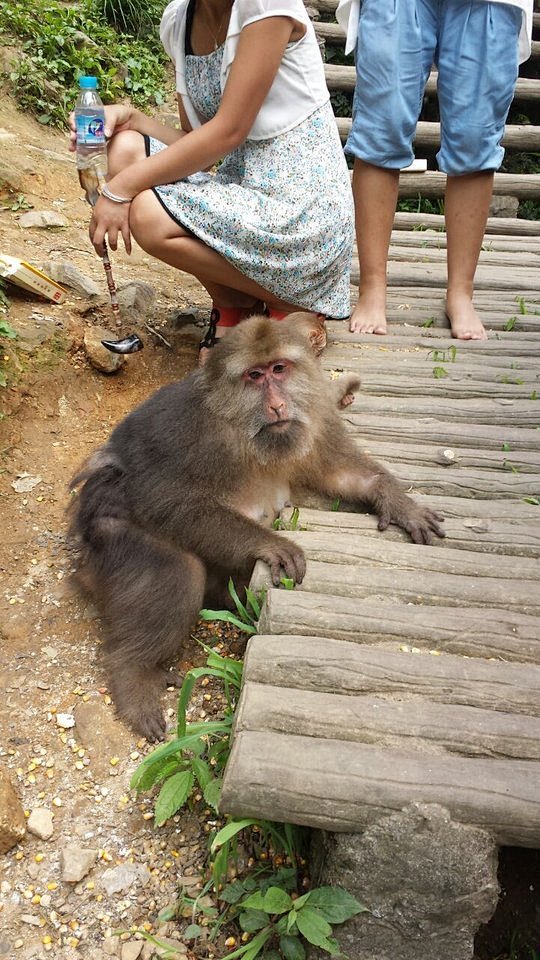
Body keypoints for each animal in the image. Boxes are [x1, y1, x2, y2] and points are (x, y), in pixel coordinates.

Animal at [70, 312, 442, 740]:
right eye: (254, 376)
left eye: (279, 369)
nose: (278, 404)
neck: (243, 428)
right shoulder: (192, 432)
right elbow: (162, 497)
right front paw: (271, 545)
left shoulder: (311, 418)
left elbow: (341, 473)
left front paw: (397, 501)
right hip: (109, 533)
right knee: (180, 569)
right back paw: (131, 671)